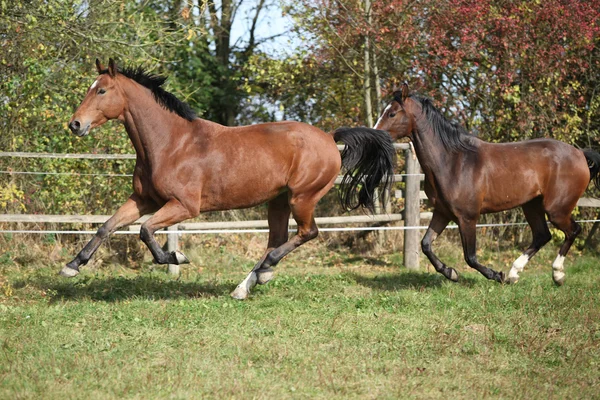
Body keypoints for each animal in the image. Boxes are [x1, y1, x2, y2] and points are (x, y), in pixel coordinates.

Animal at [61, 57, 396, 298]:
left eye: (101, 90)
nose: (75, 124)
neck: (171, 143)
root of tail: (329, 137)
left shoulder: (184, 206)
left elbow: (145, 231)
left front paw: (177, 257)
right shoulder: (144, 200)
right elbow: (107, 226)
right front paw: (72, 266)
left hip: (303, 197)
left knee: (307, 233)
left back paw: (263, 271)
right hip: (278, 201)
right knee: (278, 239)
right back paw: (247, 284)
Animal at [376, 83, 600, 286]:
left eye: (392, 113)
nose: (376, 134)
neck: (453, 161)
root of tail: (580, 154)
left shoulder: (467, 217)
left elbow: (470, 257)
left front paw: (495, 275)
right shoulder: (442, 213)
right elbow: (426, 245)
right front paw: (451, 273)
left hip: (556, 209)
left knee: (573, 231)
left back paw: (557, 275)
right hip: (532, 205)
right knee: (542, 235)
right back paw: (514, 274)